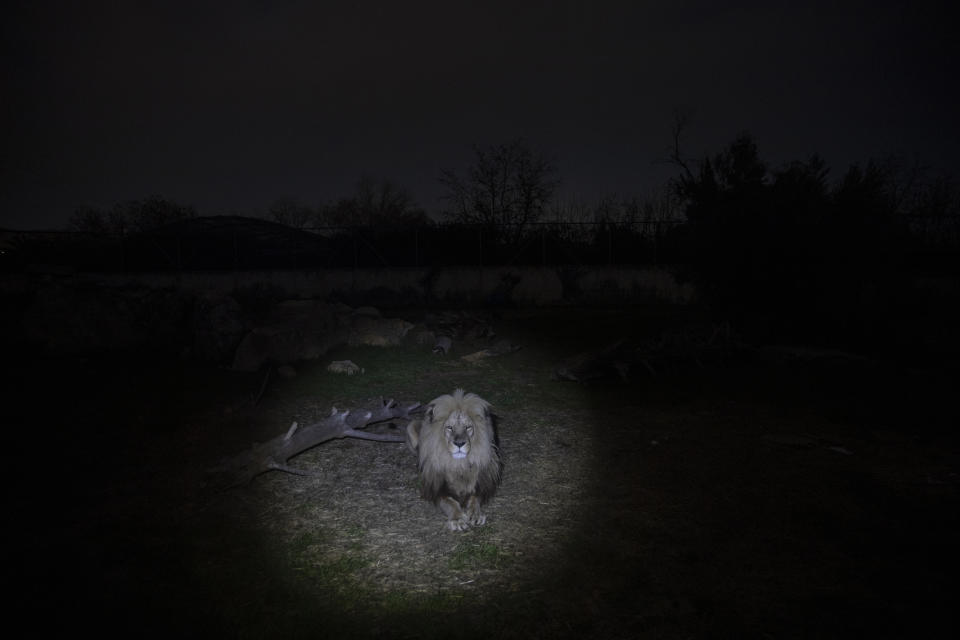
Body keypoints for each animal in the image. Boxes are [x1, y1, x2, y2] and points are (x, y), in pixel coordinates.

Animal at [404, 390, 498, 528]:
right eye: (449, 427)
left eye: (468, 427)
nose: (459, 444)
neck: (459, 464)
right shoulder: (438, 489)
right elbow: (450, 502)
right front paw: (457, 519)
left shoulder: (481, 484)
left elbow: (474, 499)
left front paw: (476, 515)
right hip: (411, 426)